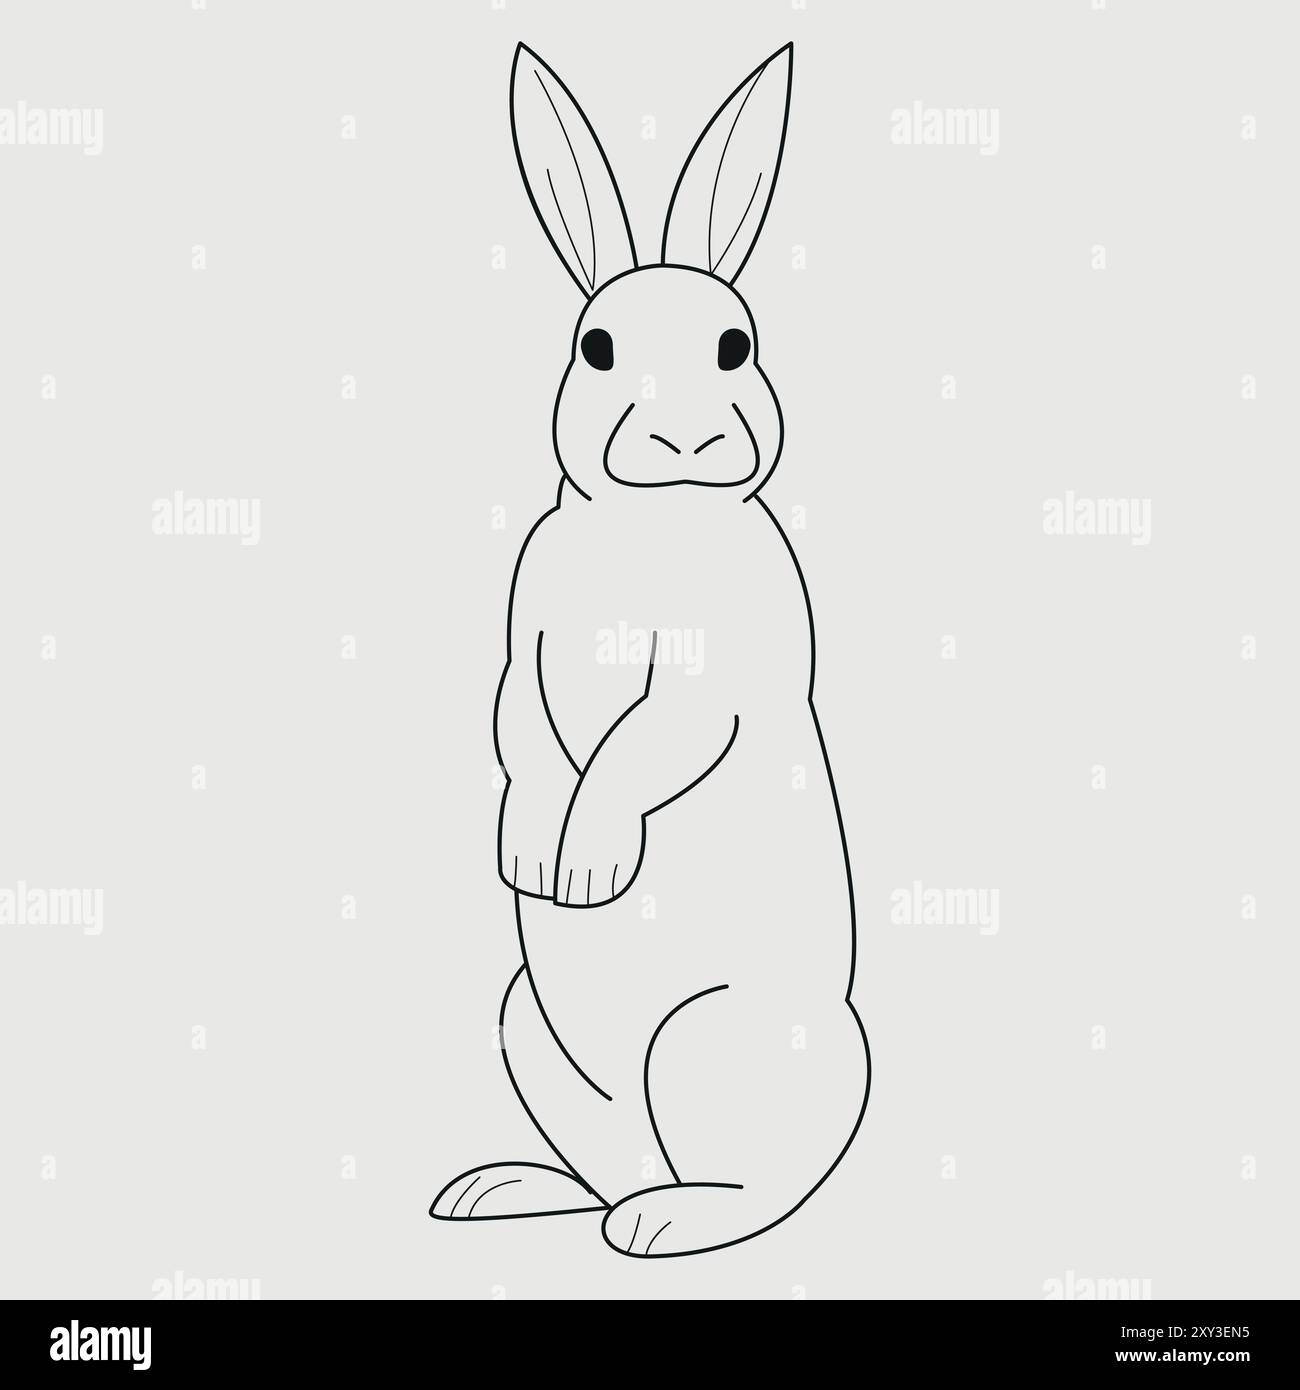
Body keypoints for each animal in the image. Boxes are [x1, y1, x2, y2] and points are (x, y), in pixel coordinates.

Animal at [430, 42, 870, 1258]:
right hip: (529, 1031)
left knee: (758, 1189)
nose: (685, 438)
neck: (650, 523)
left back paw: (668, 1225)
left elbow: (647, 746)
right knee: (608, 1166)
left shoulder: (707, 680)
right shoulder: (523, 640)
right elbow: (523, 732)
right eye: (596, 347)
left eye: (736, 345)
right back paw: (510, 1191)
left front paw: (583, 869)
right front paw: (529, 857)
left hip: (700, 1043)